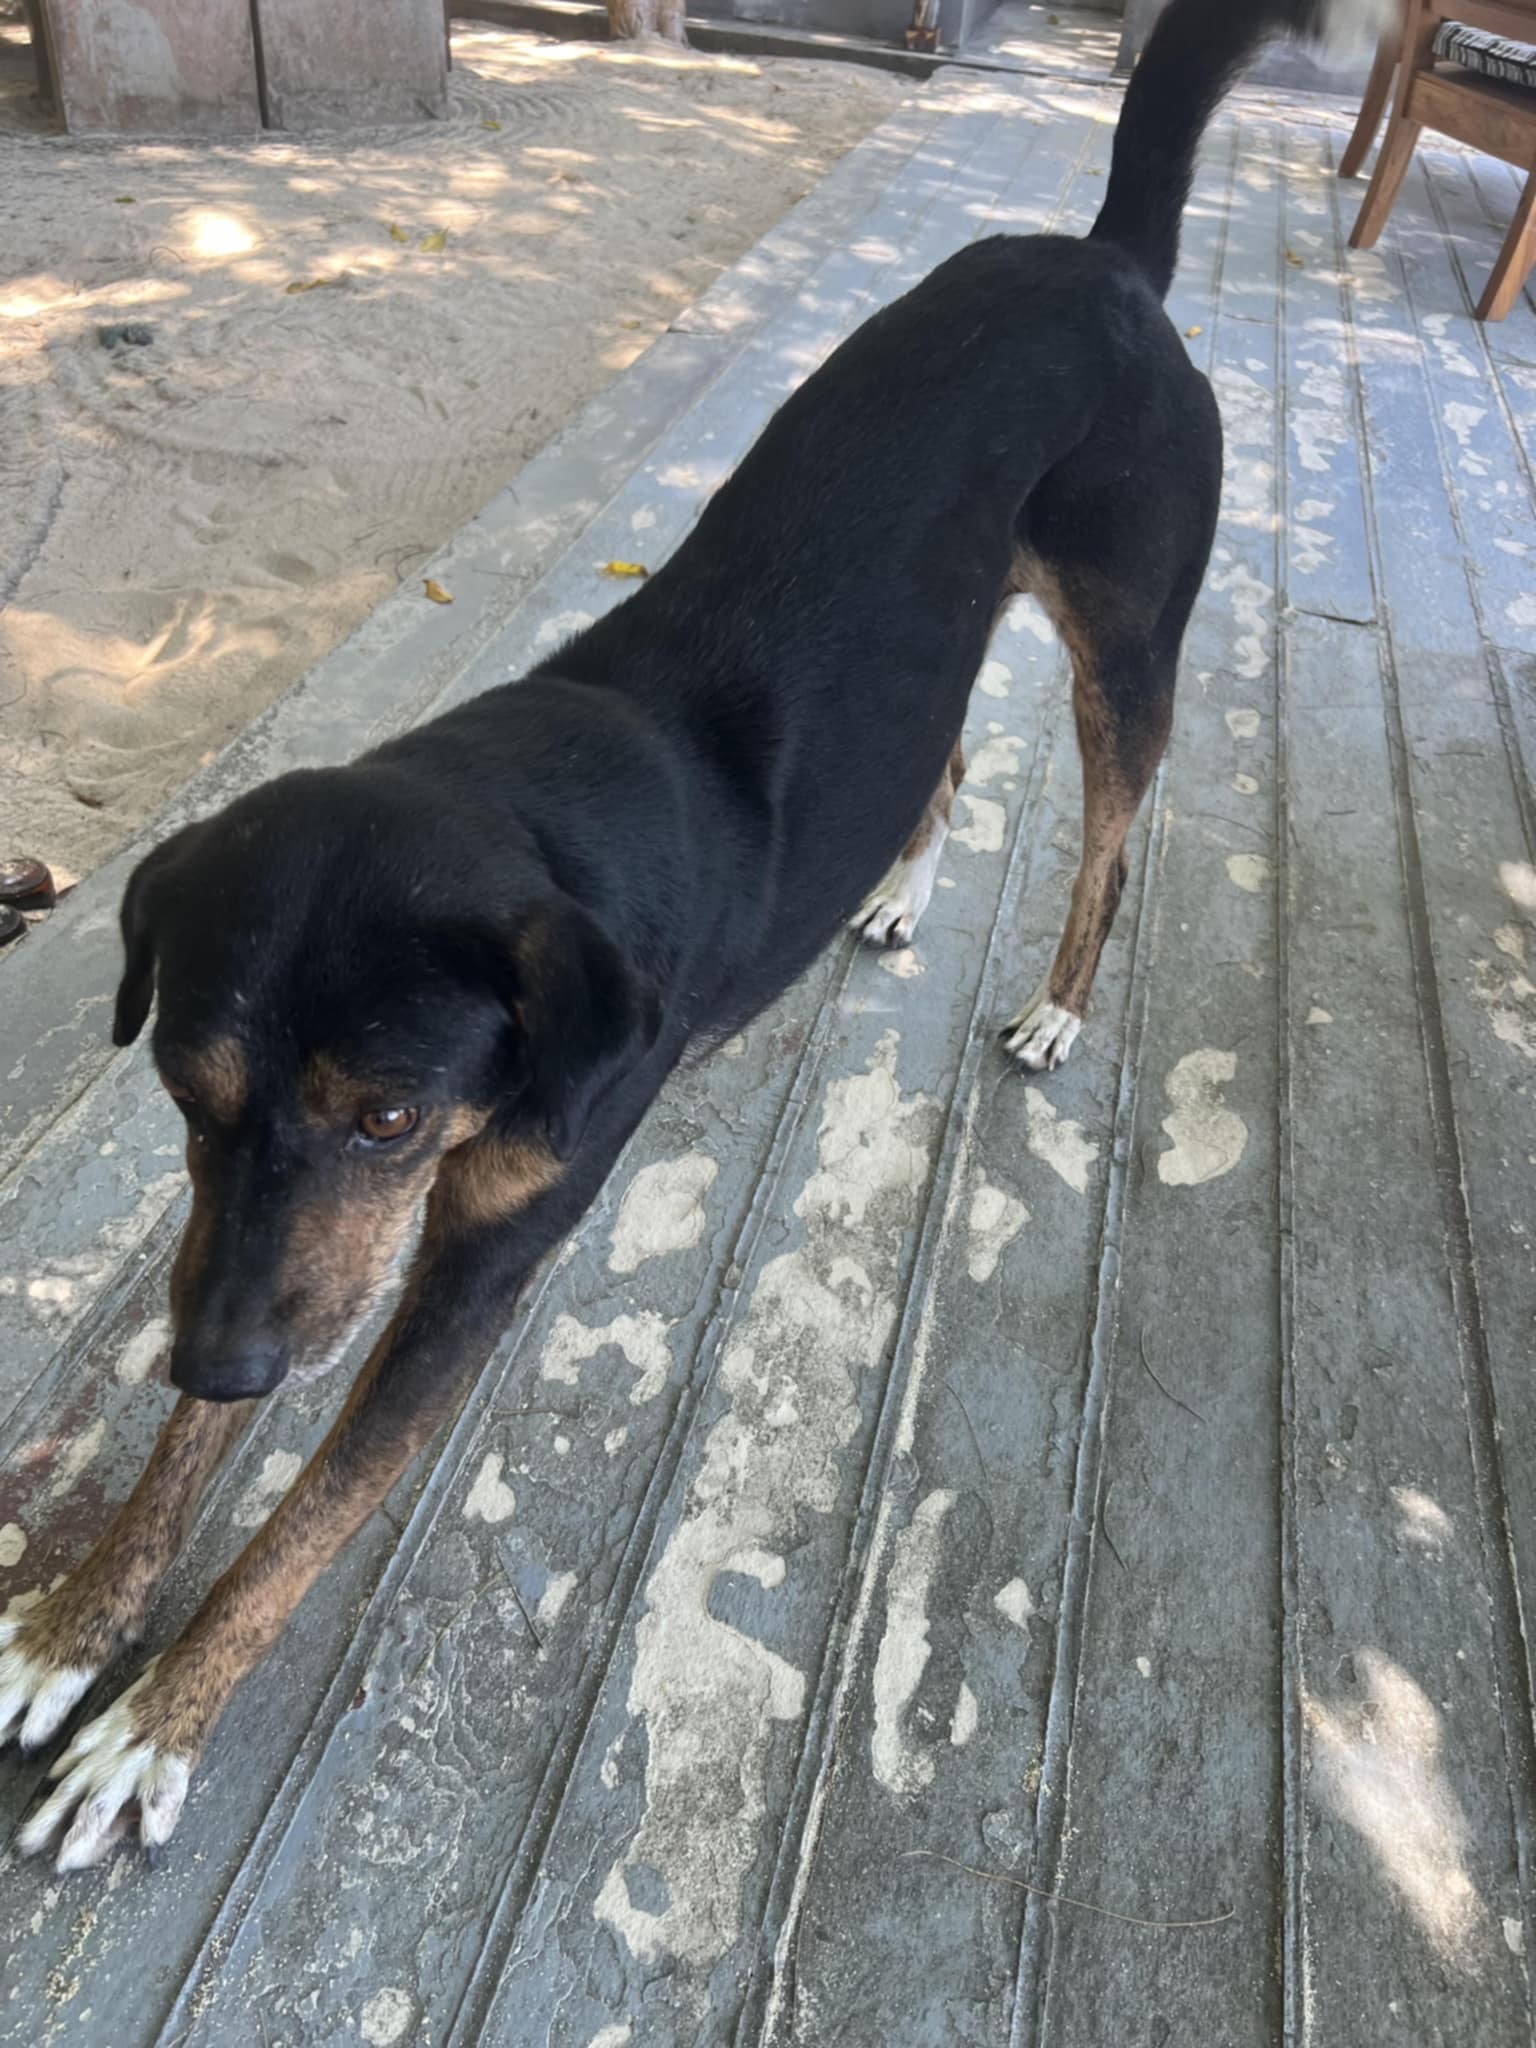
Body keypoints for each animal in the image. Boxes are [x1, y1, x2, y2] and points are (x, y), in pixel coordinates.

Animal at [3, 0, 1382, 1870]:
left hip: (1128, 640)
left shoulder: (465, 1263)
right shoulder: (272, 1242)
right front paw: (82, 1616)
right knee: (942, 753)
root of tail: (1106, 260)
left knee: (1110, 836)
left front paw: (154, 1721)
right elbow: (194, 1445)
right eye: (183, 1095)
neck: (526, 817)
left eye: (388, 1114)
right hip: (945, 635)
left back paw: (1058, 1007)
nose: (220, 1362)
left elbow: (302, 1521)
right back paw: (895, 887)